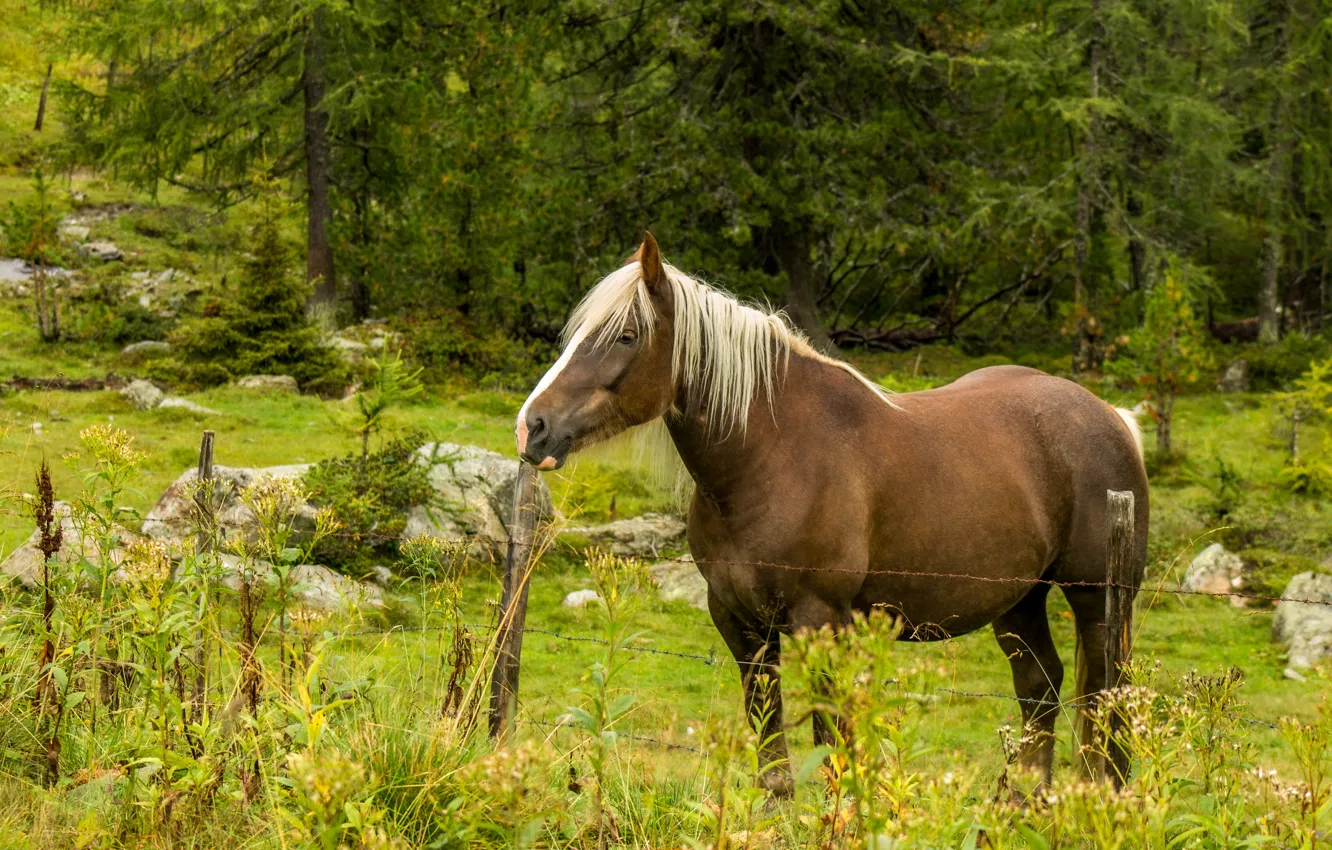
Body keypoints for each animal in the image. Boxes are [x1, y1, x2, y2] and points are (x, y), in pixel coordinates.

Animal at [515, 233, 1148, 795]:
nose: (532, 428)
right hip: (1019, 600)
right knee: (1040, 687)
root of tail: (1113, 417)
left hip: (1097, 600)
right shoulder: (738, 621)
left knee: (1107, 696)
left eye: (625, 336)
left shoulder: (821, 620)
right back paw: (1025, 801)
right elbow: (770, 745)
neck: (774, 457)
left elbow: (832, 741)